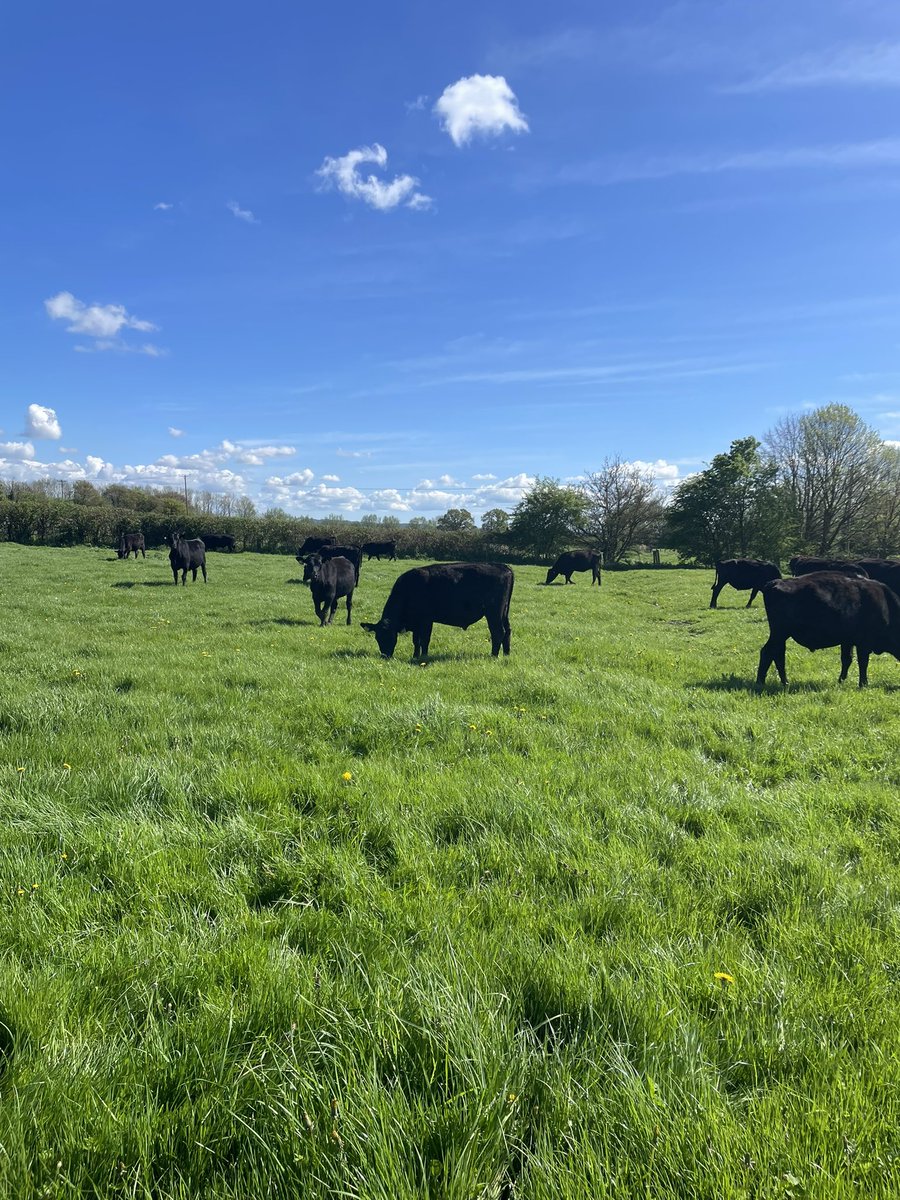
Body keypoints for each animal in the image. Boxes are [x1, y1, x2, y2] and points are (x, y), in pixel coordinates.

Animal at [361, 562, 514, 660]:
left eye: (391, 636)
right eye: (377, 637)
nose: (385, 656)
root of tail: (503, 566)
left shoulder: (426, 620)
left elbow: (424, 640)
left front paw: (423, 657)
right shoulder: (416, 623)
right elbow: (416, 640)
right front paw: (415, 656)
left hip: (493, 612)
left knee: (498, 632)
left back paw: (493, 656)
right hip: (504, 613)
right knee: (508, 631)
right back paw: (506, 655)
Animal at [756, 572, 900, 688]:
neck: (886, 606)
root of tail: (775, 583)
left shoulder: (848, 641)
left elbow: (847, 659)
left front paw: (841, 681)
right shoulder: (863, 643)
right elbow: (863, 662)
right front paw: (863, 684)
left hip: (781, 635)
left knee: (776, 653)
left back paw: (780, 682)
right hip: (780, 633)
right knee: (769, 652)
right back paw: (765, 682)